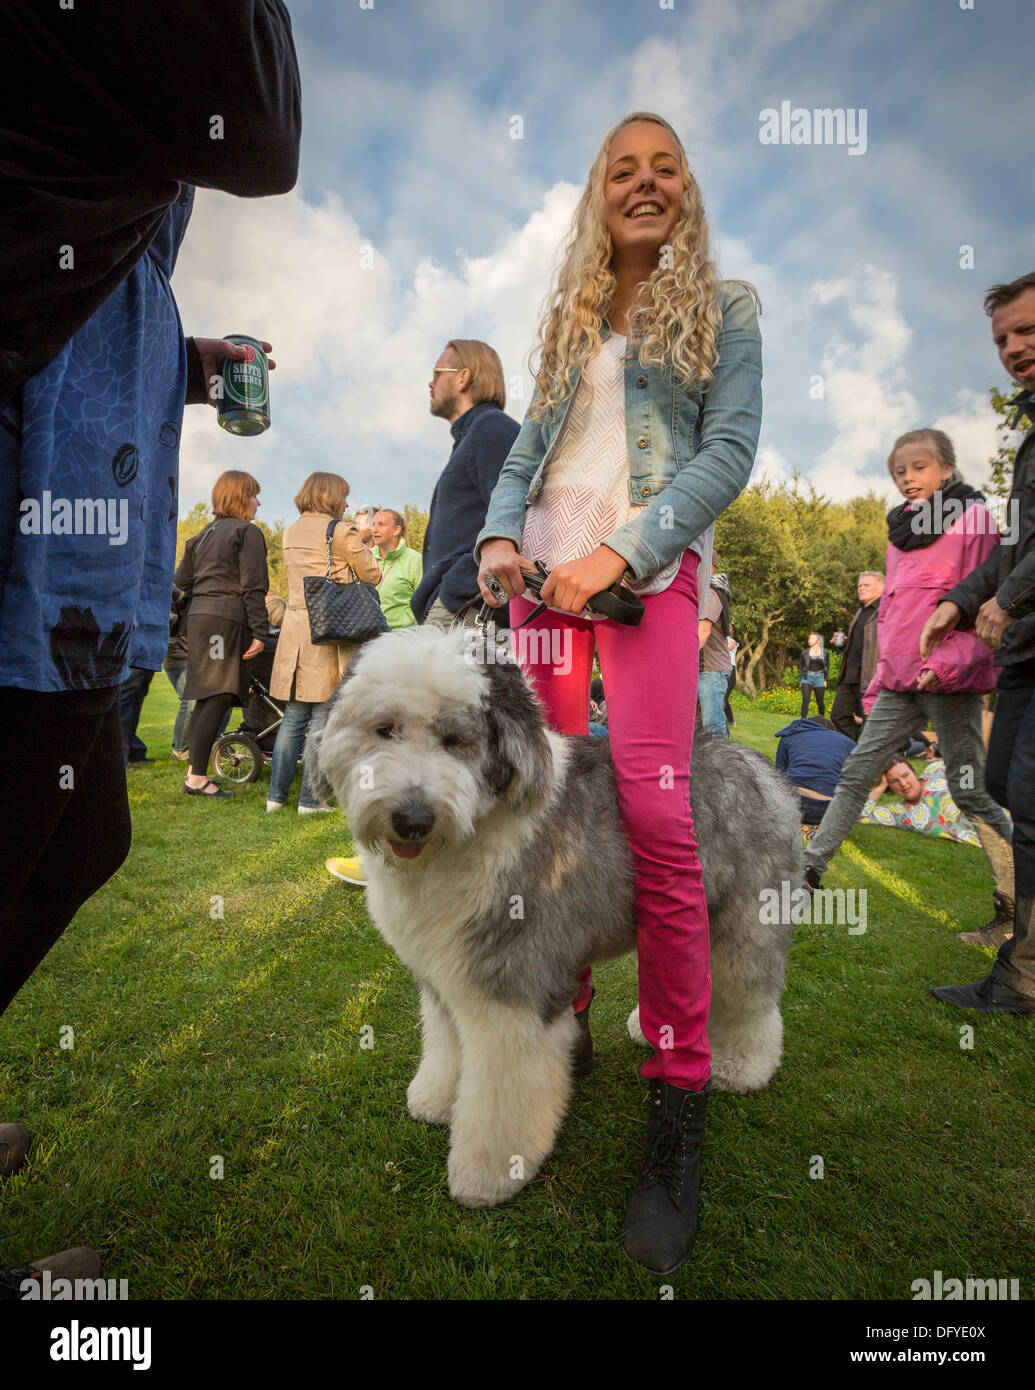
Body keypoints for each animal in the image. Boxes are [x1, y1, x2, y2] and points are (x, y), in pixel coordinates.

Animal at [307, 625, 800, 1212]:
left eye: (455, 740)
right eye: (385, 729)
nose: (412, 819)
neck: (469, 833)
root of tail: (762, 767)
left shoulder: (512, 989)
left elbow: (502, 1093)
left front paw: (489, 1174)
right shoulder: (444, 974)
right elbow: (446, 1044)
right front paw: (435, 1099)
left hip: (744, 923)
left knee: (749, 999)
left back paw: (740, 1066)